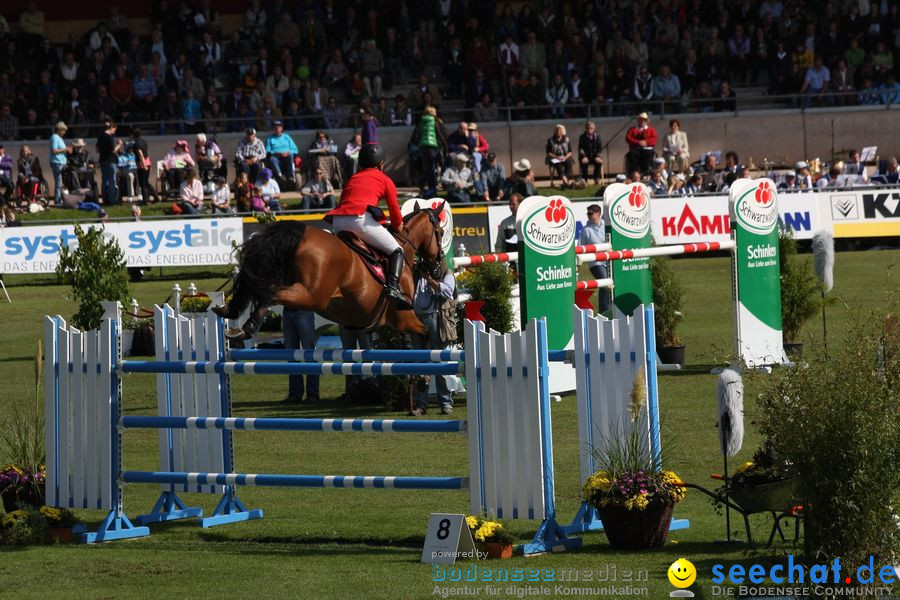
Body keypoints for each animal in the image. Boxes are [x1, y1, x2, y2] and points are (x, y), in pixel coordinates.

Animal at [214, 204, 446, 340]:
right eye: (441, 232)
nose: (438, 269)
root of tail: (303, 233)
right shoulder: (405, 319)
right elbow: (426, 336)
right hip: (312, 296)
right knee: (272, 294)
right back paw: (248, 327)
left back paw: (229, 315)